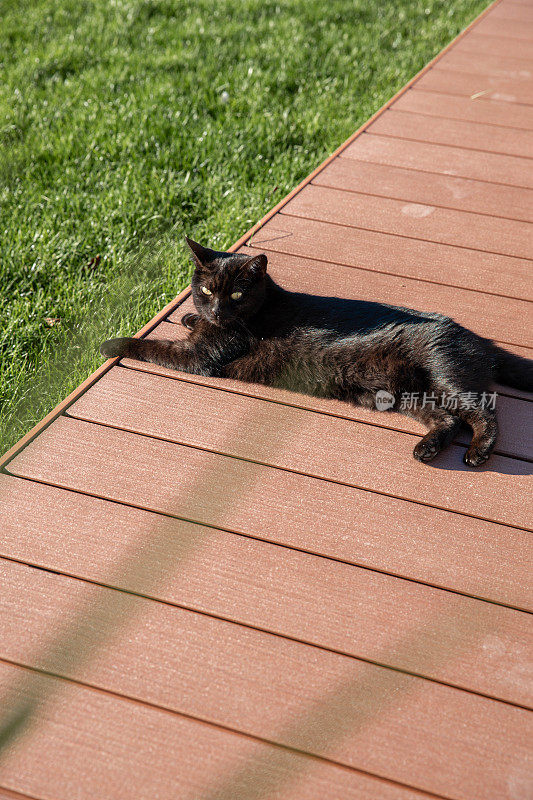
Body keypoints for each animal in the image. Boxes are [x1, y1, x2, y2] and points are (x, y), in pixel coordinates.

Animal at [102, 238, 528, 466]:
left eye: (236, 294)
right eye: (207, 290)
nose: (218, 310)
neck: (262, 306)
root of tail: (476, 337)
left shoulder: (200, 357)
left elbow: (152, 345)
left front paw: (111, 343)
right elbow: (189, 324)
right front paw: (190, 316)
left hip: (443, 374)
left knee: (482, 413)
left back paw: (476, 453)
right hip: (403, 395)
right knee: (448, 420)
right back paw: (426, 449)